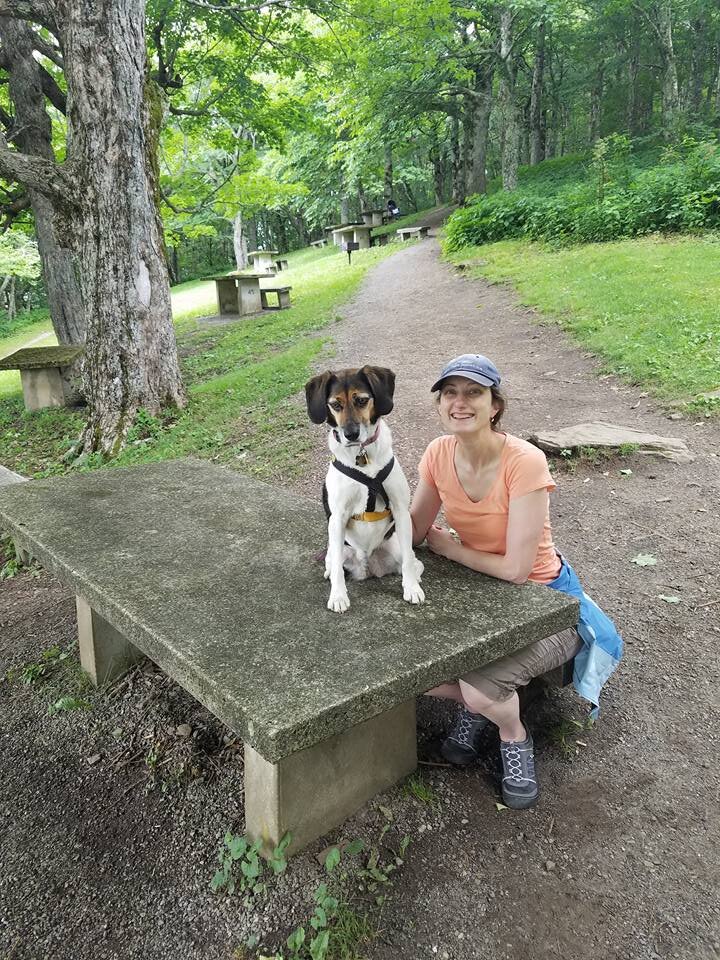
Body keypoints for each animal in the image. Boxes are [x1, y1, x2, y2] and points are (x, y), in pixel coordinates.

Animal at [306, 364, 428, 612]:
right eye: (335, 405)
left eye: (362, 400)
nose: (351, 434)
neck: (361, 456)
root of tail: (369, 566)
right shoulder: (337, 518)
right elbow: (337, 571)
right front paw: (338, 597)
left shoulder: (401, 511)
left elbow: (409, 564)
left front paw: (411, 588)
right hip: (337, 548)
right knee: (333, 565)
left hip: (398, 546)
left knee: (412, 562)